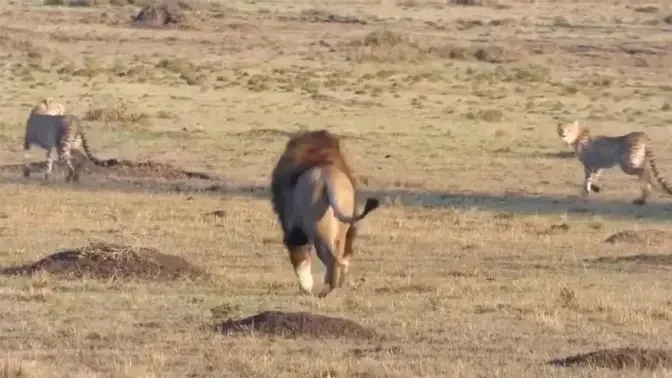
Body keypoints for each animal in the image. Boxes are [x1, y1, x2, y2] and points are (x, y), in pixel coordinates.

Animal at [270, 130, 380, 298]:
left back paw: (325, 291)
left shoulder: (293, 228)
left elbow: (300, 258)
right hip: (341, 228)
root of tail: (327, 178)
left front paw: (306, 288)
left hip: (318, 231)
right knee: (340, 255)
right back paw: (335, 285)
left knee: (331, 260)